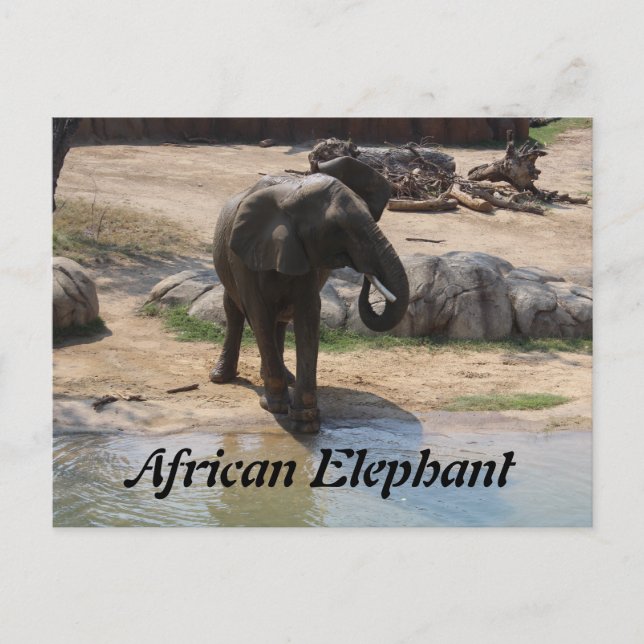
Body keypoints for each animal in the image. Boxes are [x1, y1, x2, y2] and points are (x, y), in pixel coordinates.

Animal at [209, 155, 410, 433]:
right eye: (337, 229)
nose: (366, 271)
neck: (290, 193)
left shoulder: (304, 254)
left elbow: (308, 315)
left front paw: (305, 420)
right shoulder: (242, 256)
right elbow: (258, 314)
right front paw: (275, 407)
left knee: (280, 320)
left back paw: (285, 378)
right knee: (235, 309)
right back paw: (220, 377)